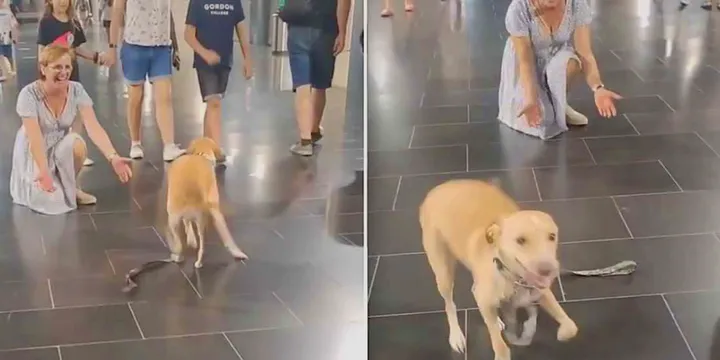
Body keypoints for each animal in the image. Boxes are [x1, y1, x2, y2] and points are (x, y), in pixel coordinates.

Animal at [167, 137, 249, 268]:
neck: (200, 155)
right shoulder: (215, 209)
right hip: (200, 218)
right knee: (200, 244)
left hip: (176, 220)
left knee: (182, 239)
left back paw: (182, 254)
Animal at [420, 180, 576, 360]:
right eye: (520, 240)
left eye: (552, 236)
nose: (548, 270)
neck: (512, 276)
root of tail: (435, 190)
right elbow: (498, 343)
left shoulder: (540, 291)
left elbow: (571, 326)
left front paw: (563, 332)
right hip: (443, 273)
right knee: (450, 304)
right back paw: (456, 336)